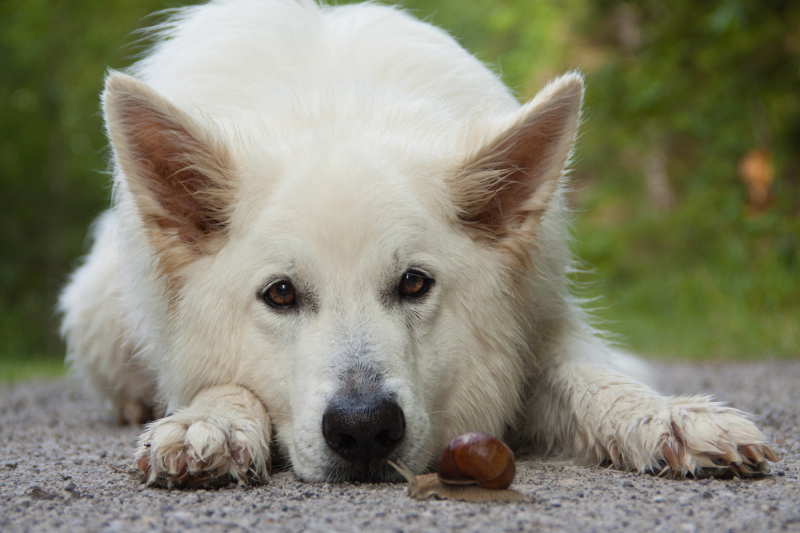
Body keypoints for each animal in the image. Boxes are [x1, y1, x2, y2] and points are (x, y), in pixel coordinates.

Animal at [61, 0, 776, 486]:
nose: (363, 430)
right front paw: (209, 421)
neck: (334, 106)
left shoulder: (537, 328)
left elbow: (593, 380)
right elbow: (219, 385)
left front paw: (671, 417)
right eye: (280, 294)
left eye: (413, 283)